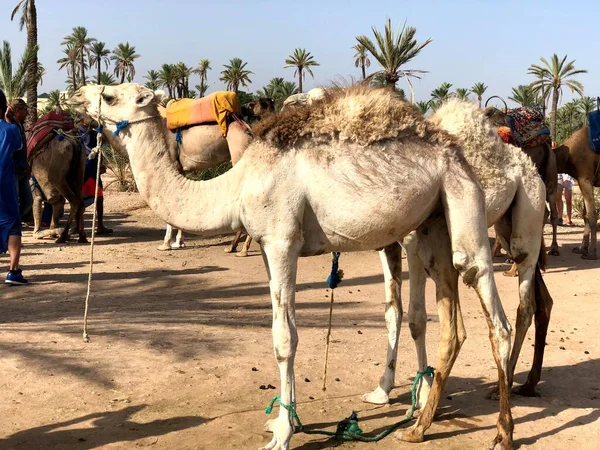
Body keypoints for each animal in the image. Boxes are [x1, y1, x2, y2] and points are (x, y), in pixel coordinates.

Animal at [69, 84, 516, 450]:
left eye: (110, 95)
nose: (72, 95)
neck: (235, 184)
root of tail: (454, 148)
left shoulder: (282, 240)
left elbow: (285, 339)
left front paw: (283, 433)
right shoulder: (269, 248)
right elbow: (285, 329)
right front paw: (287, 423)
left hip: (461, 198)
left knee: (491, 311)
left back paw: (500, 433)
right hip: (432, 219)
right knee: (450, 321)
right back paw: (419, 422)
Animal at [552, 126, 600, 260]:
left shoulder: (585, 178)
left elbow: (591, 214)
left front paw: (592, 253)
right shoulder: (584, 179)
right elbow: (585, 214)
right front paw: (581, 248)